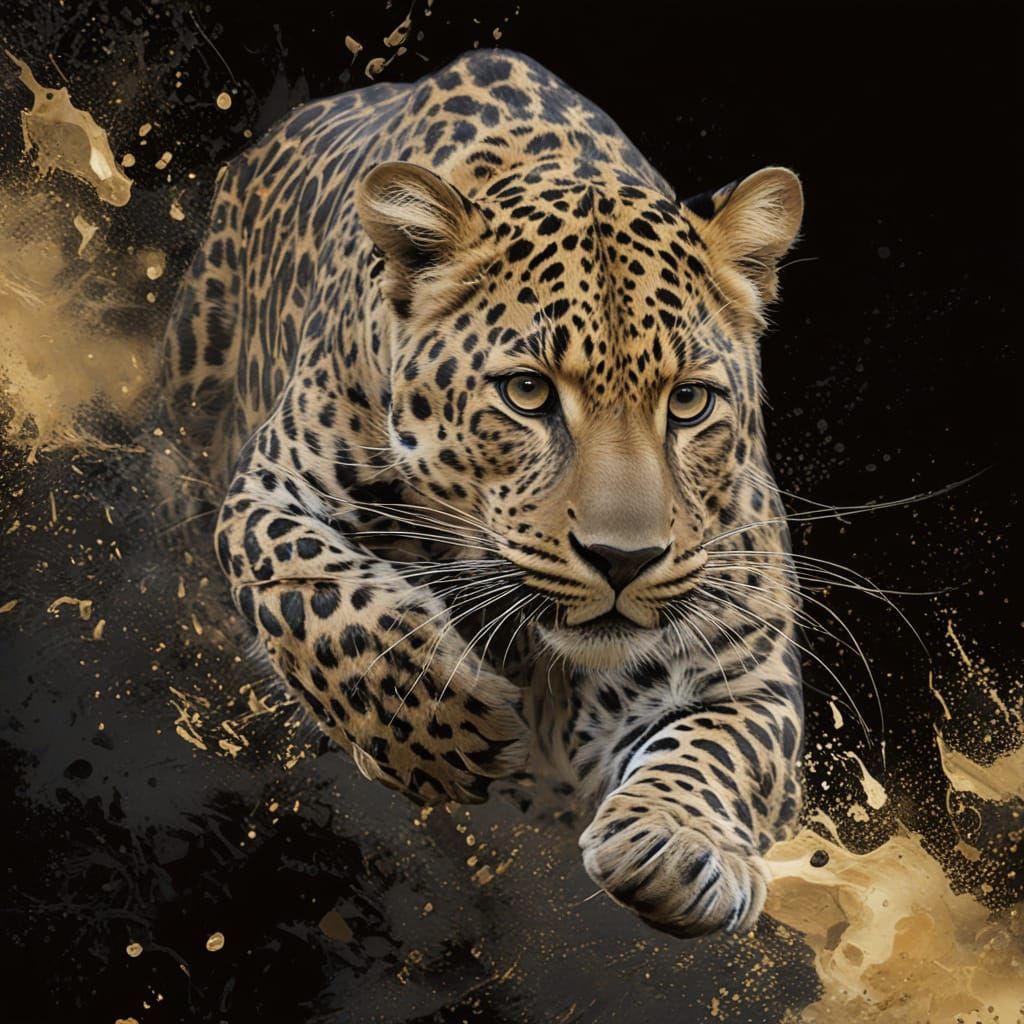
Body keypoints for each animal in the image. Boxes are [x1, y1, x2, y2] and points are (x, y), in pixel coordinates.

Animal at [161, 48, 805, 940]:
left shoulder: (747, 646)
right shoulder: (269, 492)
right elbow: (316, 596)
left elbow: (728, 743)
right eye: (528, 393)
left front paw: (679, 846)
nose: (624, 560)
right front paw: (443, 724)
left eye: (688, 401)